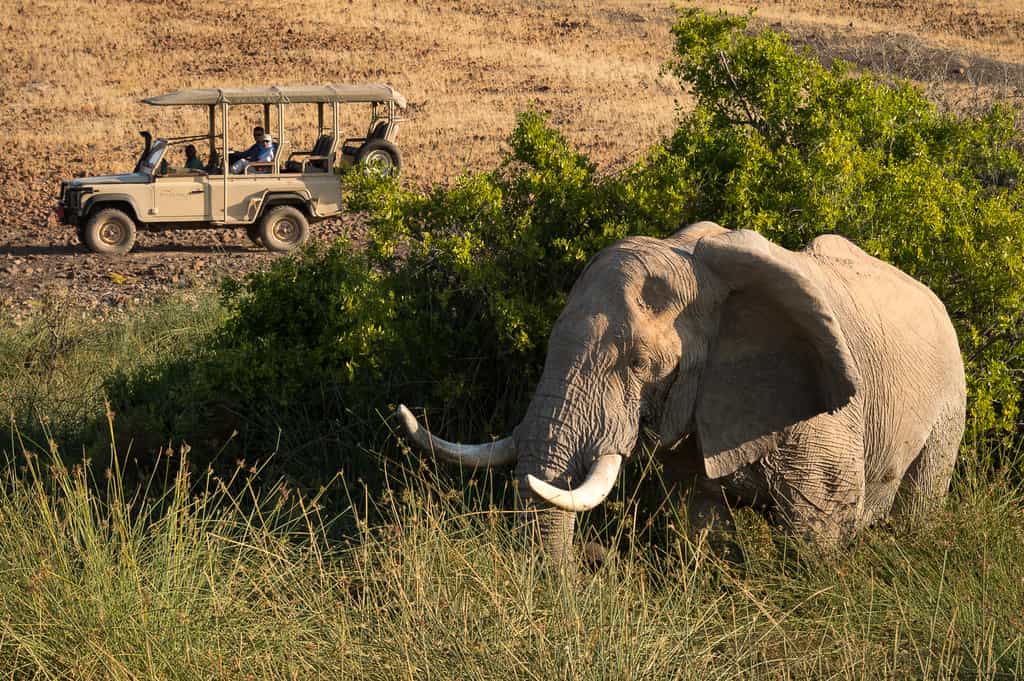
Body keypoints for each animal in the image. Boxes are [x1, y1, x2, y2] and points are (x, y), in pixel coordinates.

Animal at [396, 222, 966, 564]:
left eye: (638, 364)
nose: (591, 563)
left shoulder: (823, 416)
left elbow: (817, 530)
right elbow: (701, 519)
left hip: (950, 399)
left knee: (920, 501)